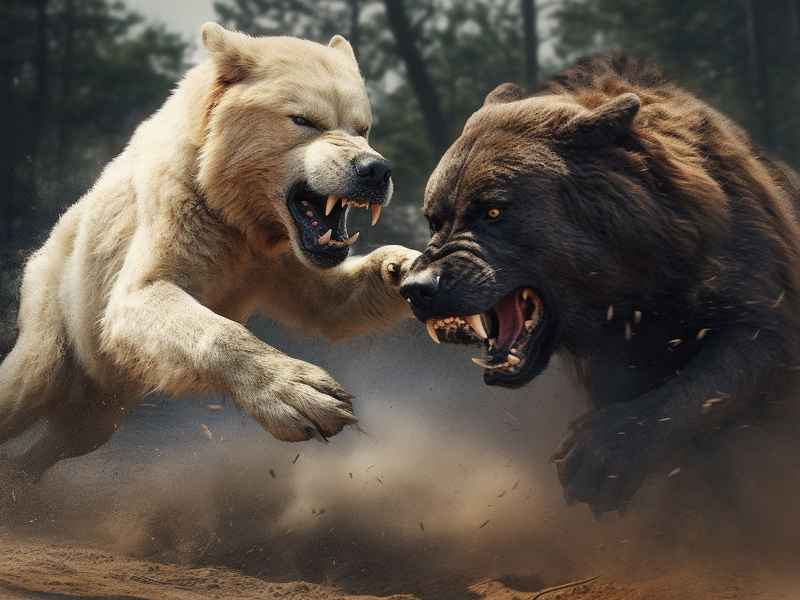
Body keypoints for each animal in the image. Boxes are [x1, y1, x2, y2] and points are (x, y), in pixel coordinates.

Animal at [0, 23, 420, 479]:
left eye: (363, 128)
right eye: (304, 120)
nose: (375, 170)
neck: (236, 217)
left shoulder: (278, 257)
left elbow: (330, 303)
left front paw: (408, 266)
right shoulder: (174, 210)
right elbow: (154, 303)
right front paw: (303, 394)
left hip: (100, 400)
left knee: (74, 433)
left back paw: (21, 474)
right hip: (55, 311)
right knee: (30, 383)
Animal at [399, 55, 800, 514]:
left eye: (493, 211)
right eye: (434, 218)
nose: (416, 288)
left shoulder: (759, 302)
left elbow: (703, 384)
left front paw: (598, 457)